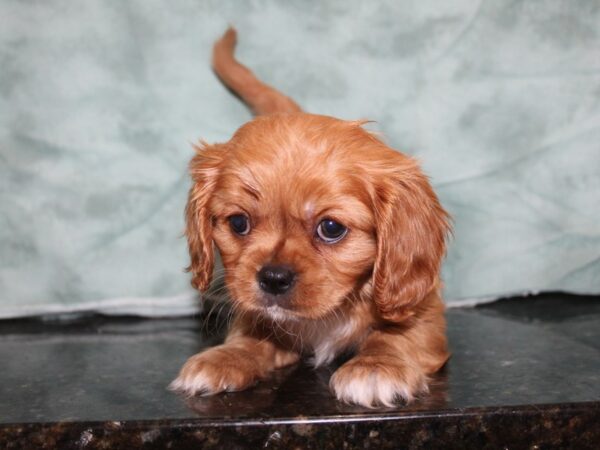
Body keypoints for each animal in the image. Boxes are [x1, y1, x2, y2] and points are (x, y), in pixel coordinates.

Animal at [170, 28, 450, 408]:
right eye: (238, 223)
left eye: (331, 228)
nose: (273, 278)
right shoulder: (255, 313)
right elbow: (252, 334)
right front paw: (225, 357)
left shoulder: (424, 314)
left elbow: (394, 336)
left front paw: (377, 367)